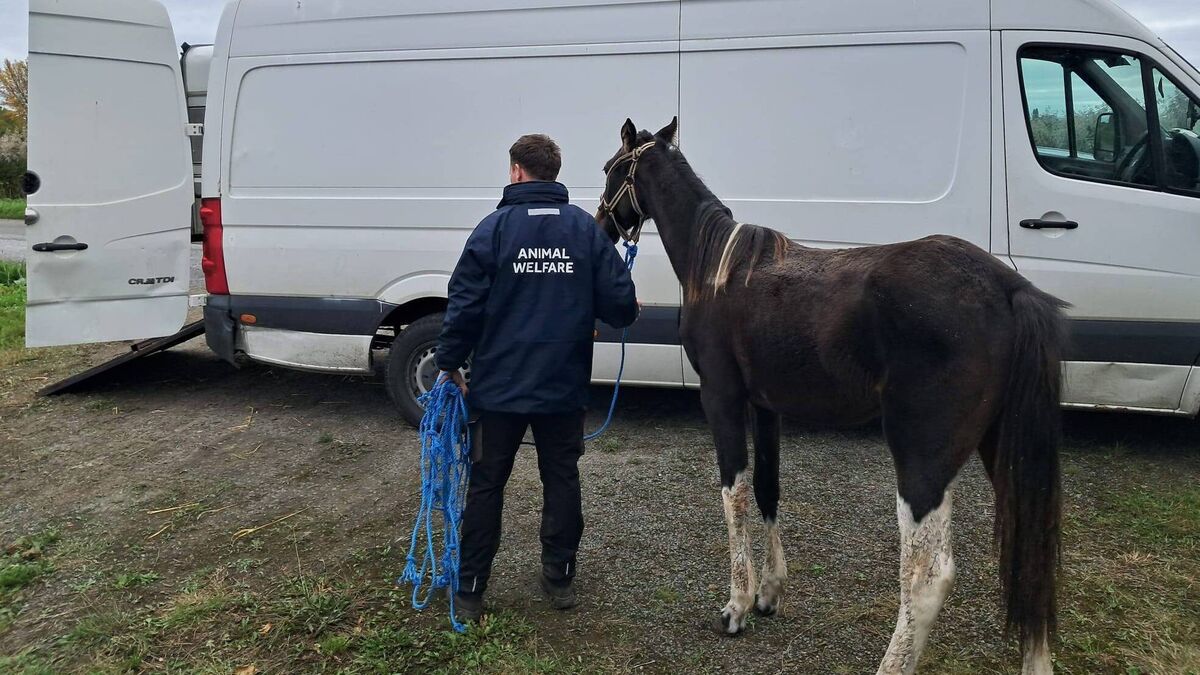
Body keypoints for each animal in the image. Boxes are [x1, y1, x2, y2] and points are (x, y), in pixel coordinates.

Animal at [594, 117, 1068, 675]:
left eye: (610, 169)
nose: (601, 224)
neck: (717, 268)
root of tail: (1008, 289)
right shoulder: (766, 407)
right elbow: (767, 489)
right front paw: (769, 594)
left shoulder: (722, 398)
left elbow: (733, 493)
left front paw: (737, 606)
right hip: (1004, 451)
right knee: (1030, 554)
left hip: (922, 459)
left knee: (927, 575)